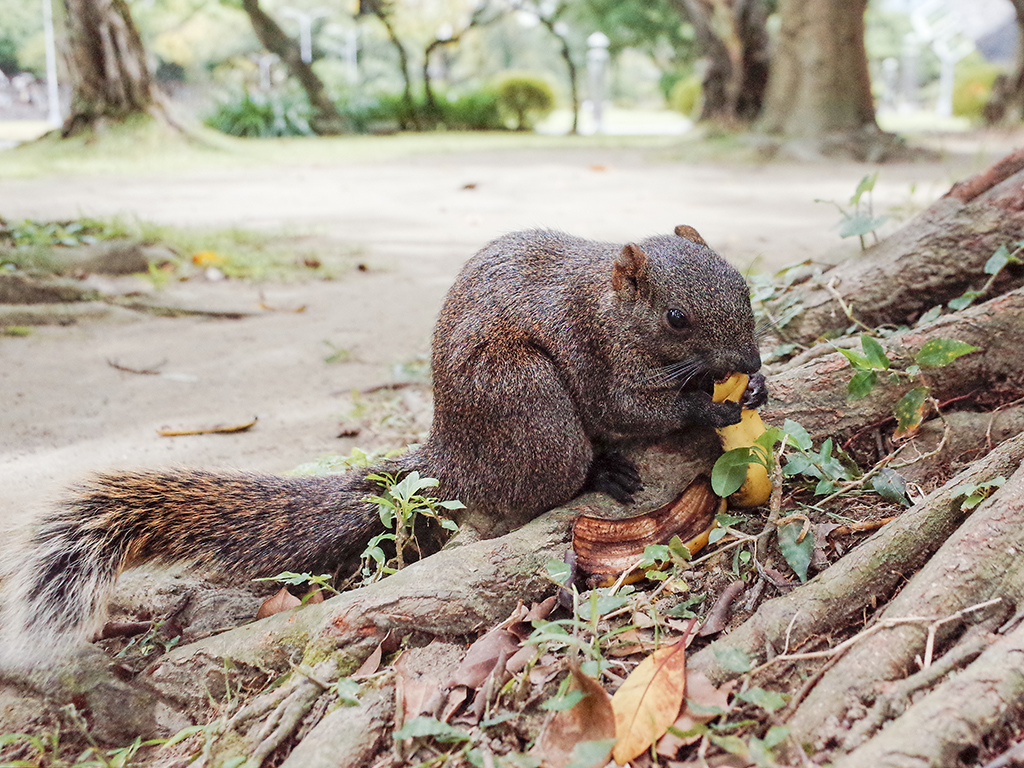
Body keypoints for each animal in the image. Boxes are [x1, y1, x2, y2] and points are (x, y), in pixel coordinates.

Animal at [0, 225, 765, 671]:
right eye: (677, 317)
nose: (750, 359)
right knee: (544, 481)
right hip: (531, 406)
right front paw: (711, 402)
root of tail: (451, 456)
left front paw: (752, 386)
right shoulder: (598, 357)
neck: (611, 308)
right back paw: (600, 470)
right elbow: (630, 408)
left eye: (744, 284)